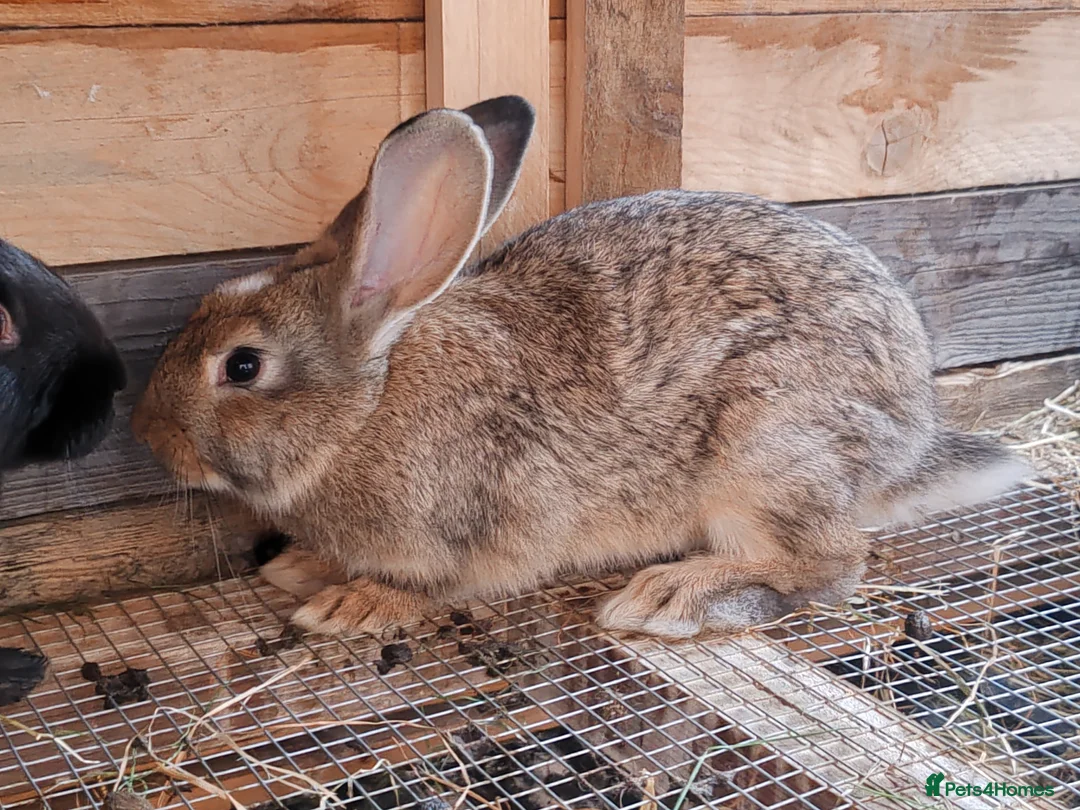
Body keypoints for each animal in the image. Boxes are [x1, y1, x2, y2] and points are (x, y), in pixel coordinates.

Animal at [132, 95, 1028, 640]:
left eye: (243, 366)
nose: (145, 431)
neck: (366, 407)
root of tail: (911, 435)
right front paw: (300, 565)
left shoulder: (480, 532)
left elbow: (438, 587)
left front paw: (352, 602)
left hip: (769, 450)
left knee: (831, 563)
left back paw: (676, 594)